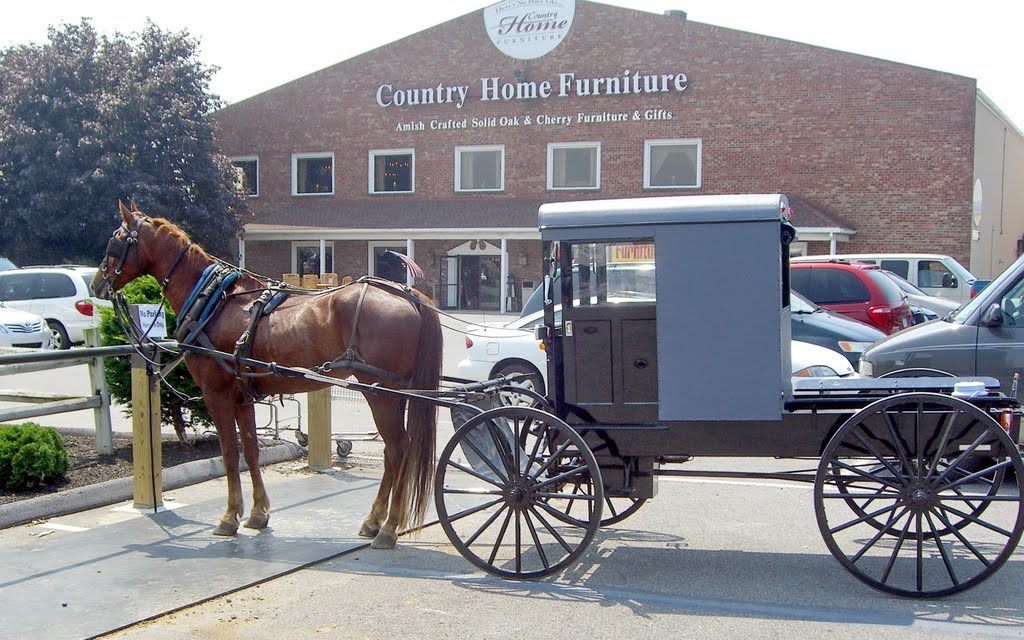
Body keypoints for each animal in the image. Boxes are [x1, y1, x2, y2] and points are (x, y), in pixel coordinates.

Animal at [90, 201, 438, 544]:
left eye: (114, 242)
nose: (97, 285)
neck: (215, 301)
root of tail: (408, 294)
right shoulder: (242, 397)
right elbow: (251, 451)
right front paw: (258, 513)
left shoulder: (216, 394)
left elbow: (230, 453)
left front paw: (229, 517)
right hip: (396, 393)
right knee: (393, 452)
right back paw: (374, 520)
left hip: (380, 393)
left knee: (398, 449)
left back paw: (388, 527)